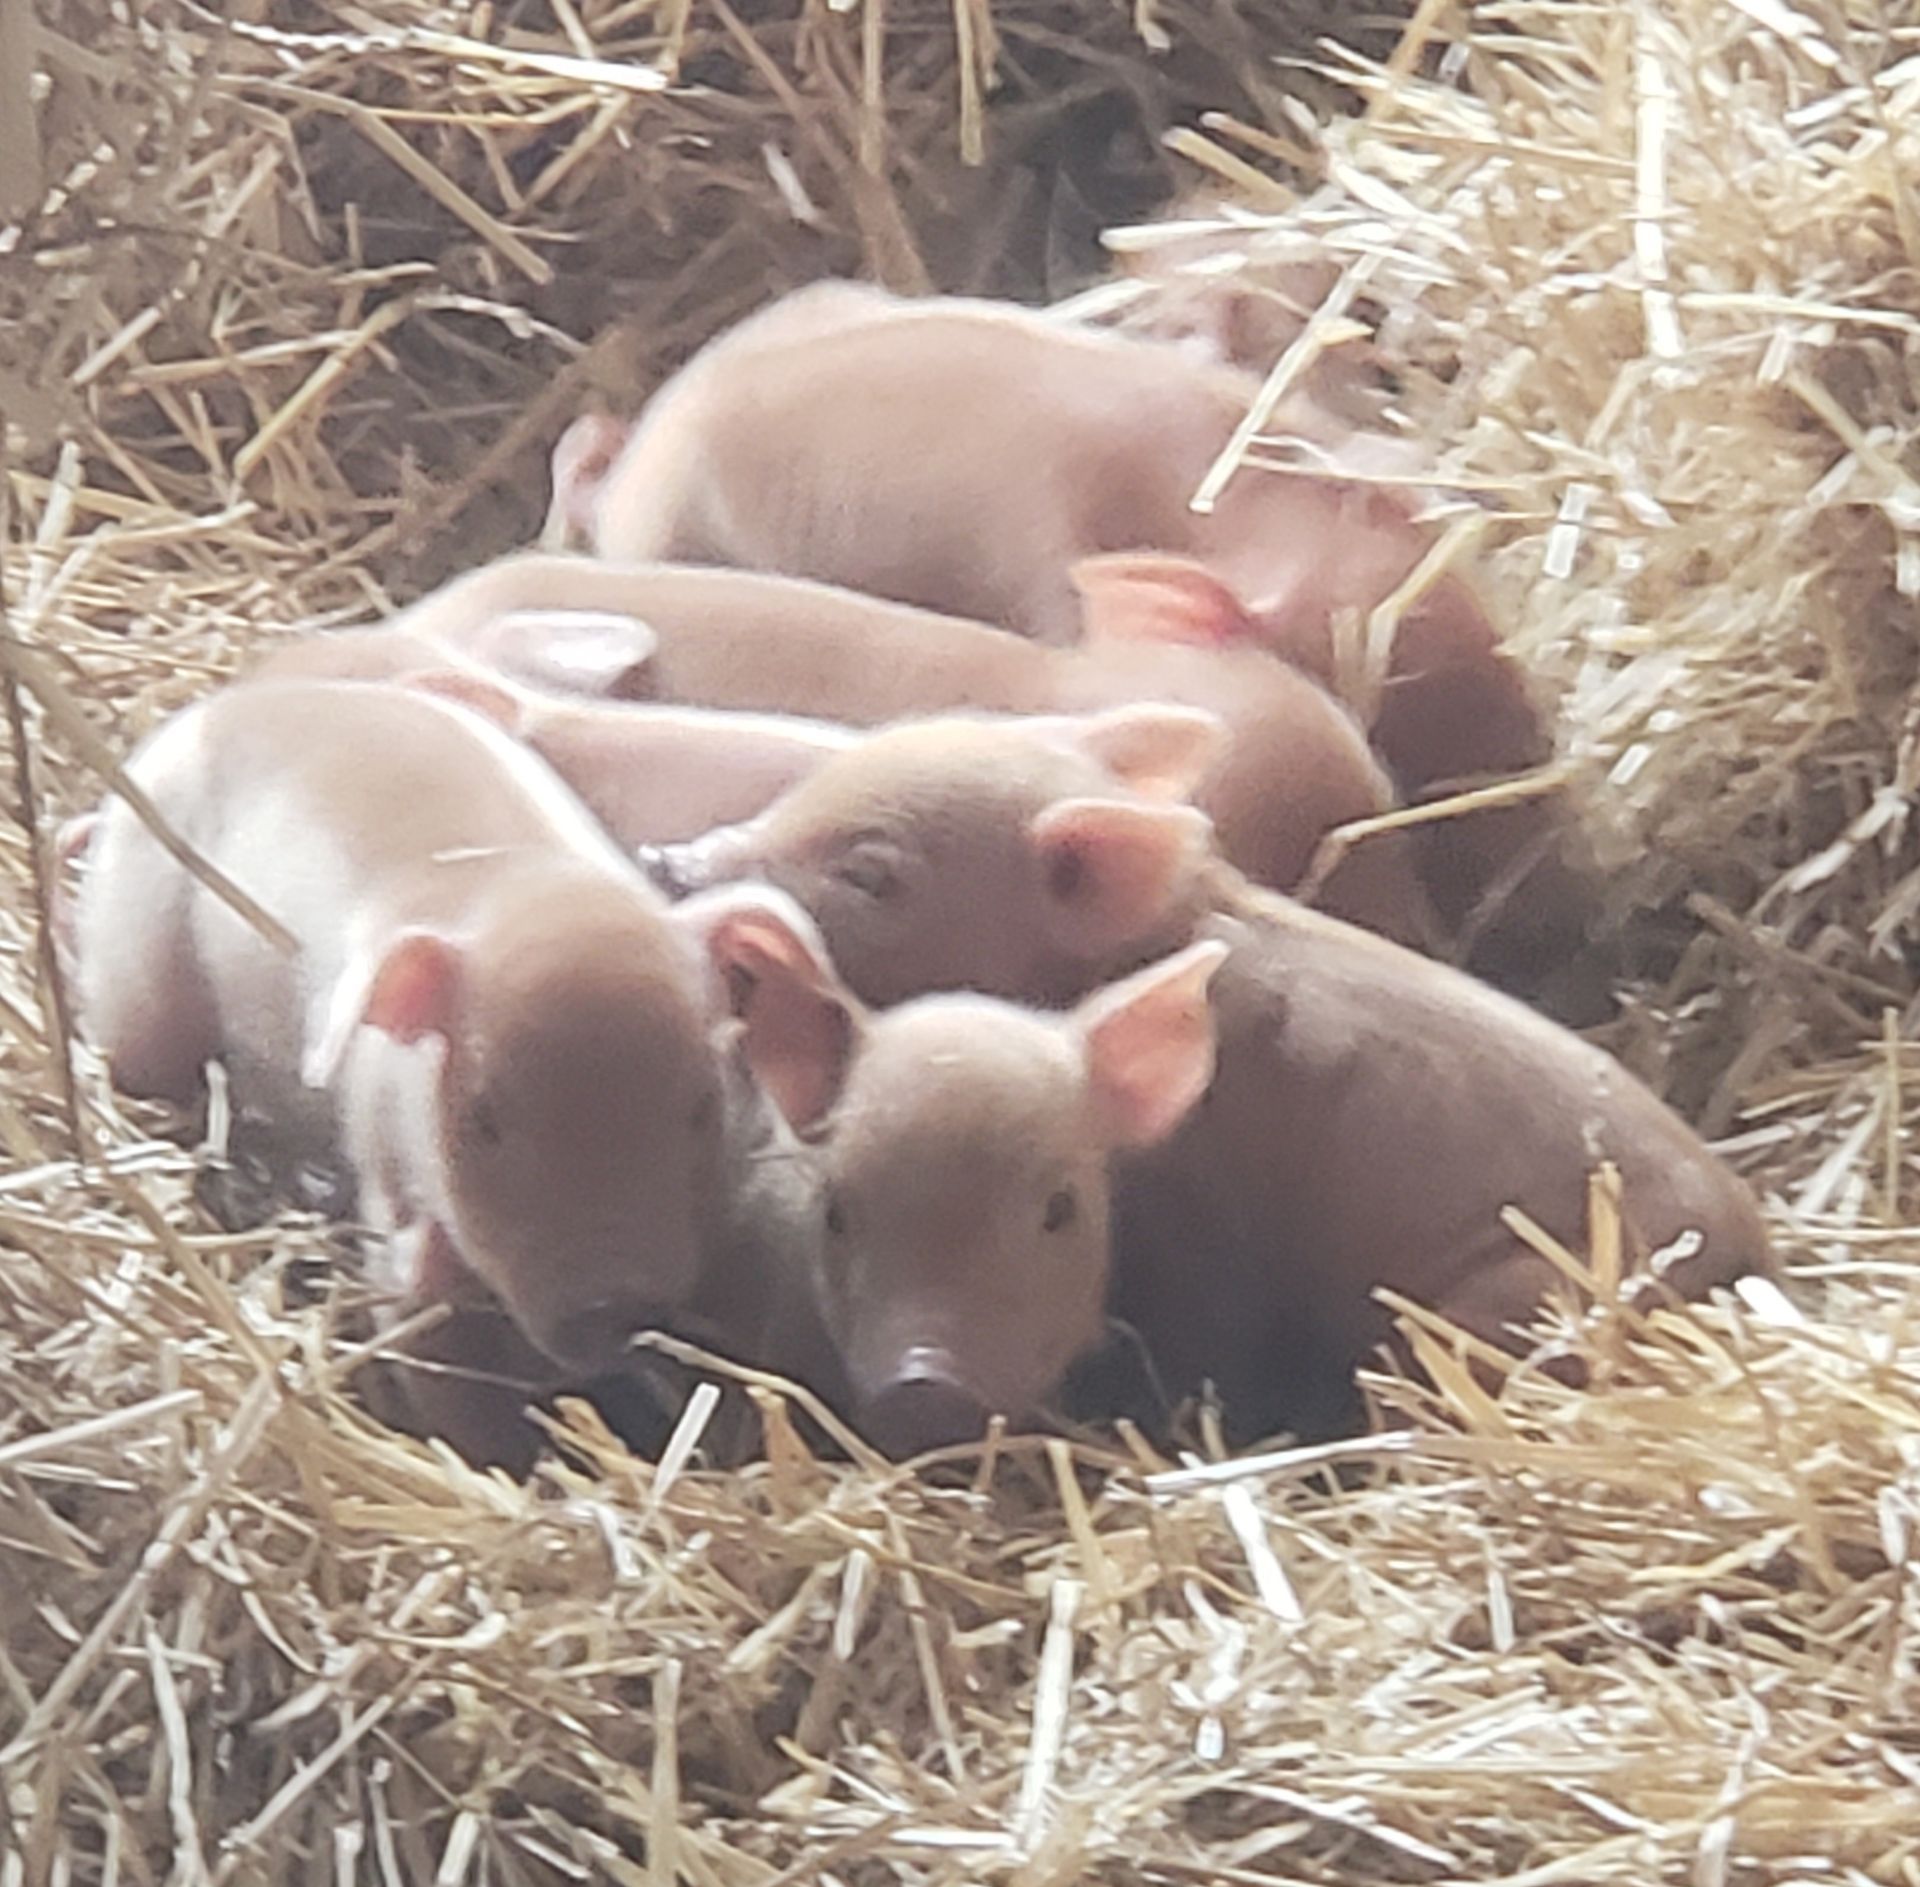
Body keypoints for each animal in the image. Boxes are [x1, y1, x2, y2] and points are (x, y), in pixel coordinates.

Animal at [68, 678, 798, 1471]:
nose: (614, 1305)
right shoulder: (394, 1213)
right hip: (137, 990)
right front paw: (508, 1465)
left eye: (702, 1106)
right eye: (484, 1117)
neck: (523, 889)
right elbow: (441, 1371)